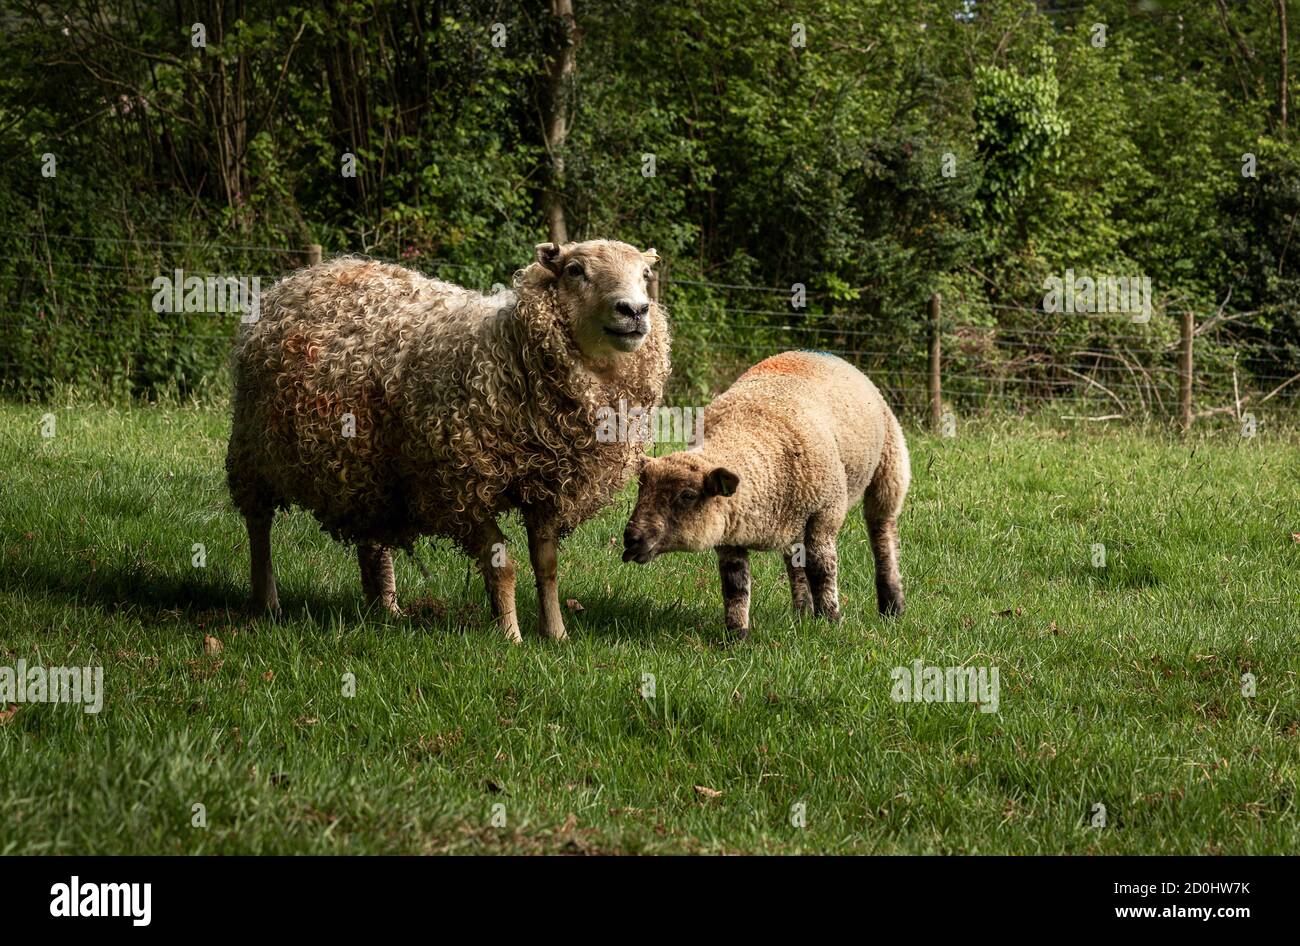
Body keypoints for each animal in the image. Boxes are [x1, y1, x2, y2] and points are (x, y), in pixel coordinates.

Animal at [226, 239, 670, 642]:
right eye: (576, 270)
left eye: (646, 274)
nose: (634, 311)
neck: (508, 353)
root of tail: (303, 277)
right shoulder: (461, 487)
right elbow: (502, 565)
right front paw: (511, 637)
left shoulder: (548, 485)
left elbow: (547, 565)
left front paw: (555, 634)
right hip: (253, 448)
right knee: (258, 524)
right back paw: (267, 602)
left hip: (364, 465)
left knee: (372, 534)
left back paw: (386, 607)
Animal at [620, 350, 909, 638]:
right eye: (640, 489)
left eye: (688, 496)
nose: (631, 538)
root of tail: (818, 352)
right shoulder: (729, 529)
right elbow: (735, 586)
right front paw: (736, 636)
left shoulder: (825, 512)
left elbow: (821, 568)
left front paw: (830, 622)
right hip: (795, 520)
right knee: (796, 563)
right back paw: (803, 613)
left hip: (889, 468)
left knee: (882, 536)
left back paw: (892, 607)